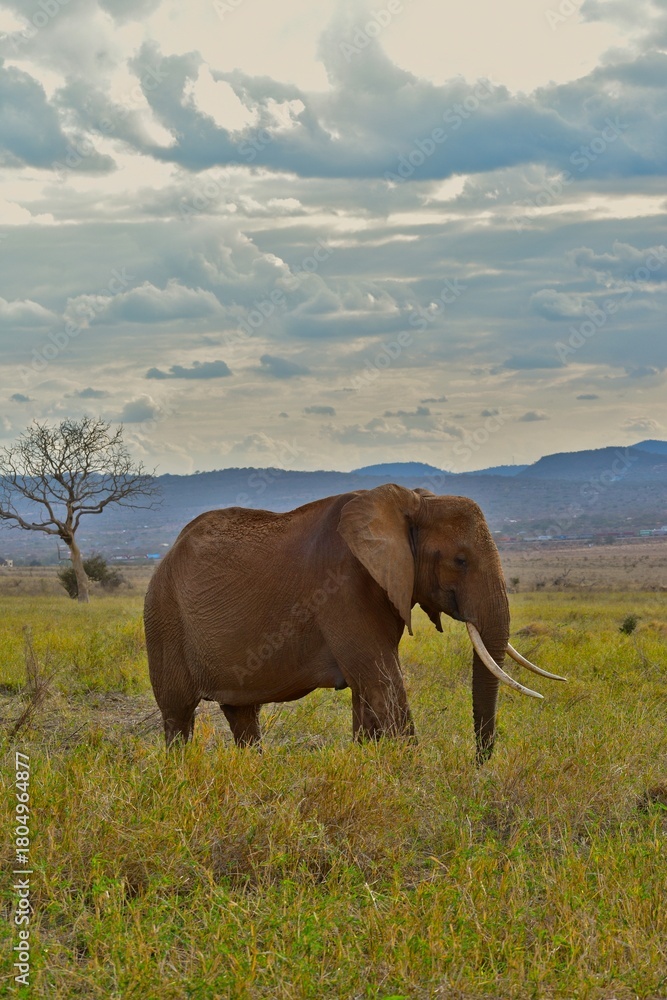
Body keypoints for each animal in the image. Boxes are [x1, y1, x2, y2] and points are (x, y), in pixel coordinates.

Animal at [144, 483, 565, 762]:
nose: (479, 763)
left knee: (242, 714)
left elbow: (368, 689)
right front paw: (415, 781)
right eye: (460, 561)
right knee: (178, 714)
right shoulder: (343, 589)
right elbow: (383, 681)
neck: (410, 504)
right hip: (163, 617)